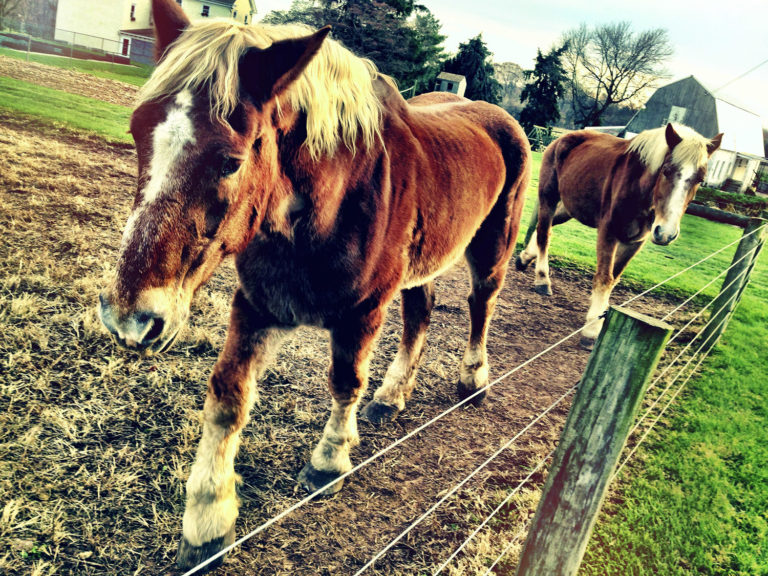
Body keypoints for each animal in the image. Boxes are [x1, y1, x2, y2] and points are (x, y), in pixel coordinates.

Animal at [97, 0, 531, 570]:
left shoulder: (363, 311)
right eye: (135, 131)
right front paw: (208, 521)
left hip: (491, 248)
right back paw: (393, 396)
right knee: (421, 312)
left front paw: (329, 462)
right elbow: (227, 397)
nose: (129, 317)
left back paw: (473, 379)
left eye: (231, 160)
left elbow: (345, 382)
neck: (323, 207)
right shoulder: (257, 305)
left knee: (481, 304)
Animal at [515, 123, 722, 346]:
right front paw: (592, 329)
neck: (638, 187)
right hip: (549, 196)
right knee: (544, 233)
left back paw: (524, 258)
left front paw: (601, 314)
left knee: (544, 228)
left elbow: (614, 277)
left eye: (700, 179)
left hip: (569, 208)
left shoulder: (635, 241)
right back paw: (542, 279)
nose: (666, 233)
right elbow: (604, 278)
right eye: (666, 171)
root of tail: (563, 138)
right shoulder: (609, 232)